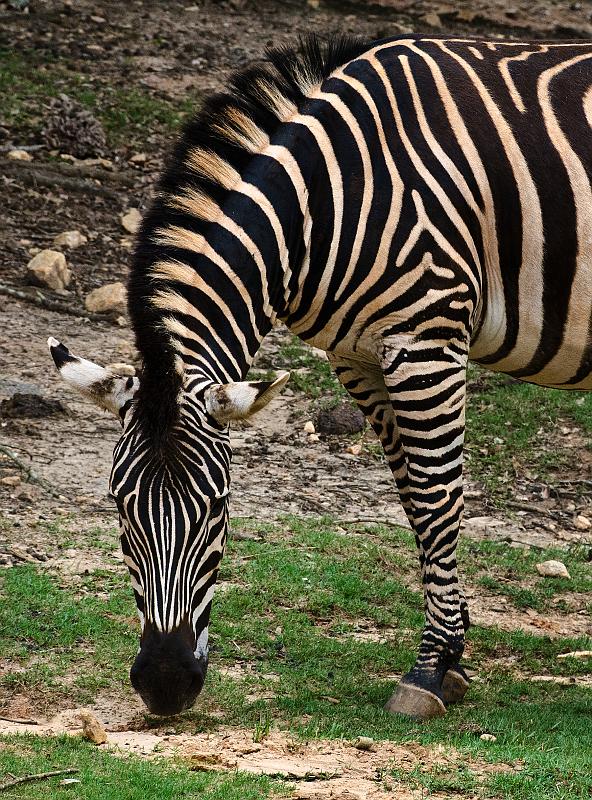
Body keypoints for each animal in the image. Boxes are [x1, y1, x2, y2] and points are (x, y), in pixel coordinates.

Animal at [49, 34, 592, 719]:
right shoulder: (356, 355)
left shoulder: (426, 335)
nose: (165, 684)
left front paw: (430, 670)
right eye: (120, 507)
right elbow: (412, 497)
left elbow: (437, 498)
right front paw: (454, 656)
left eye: (218, 507)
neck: (327, 203)